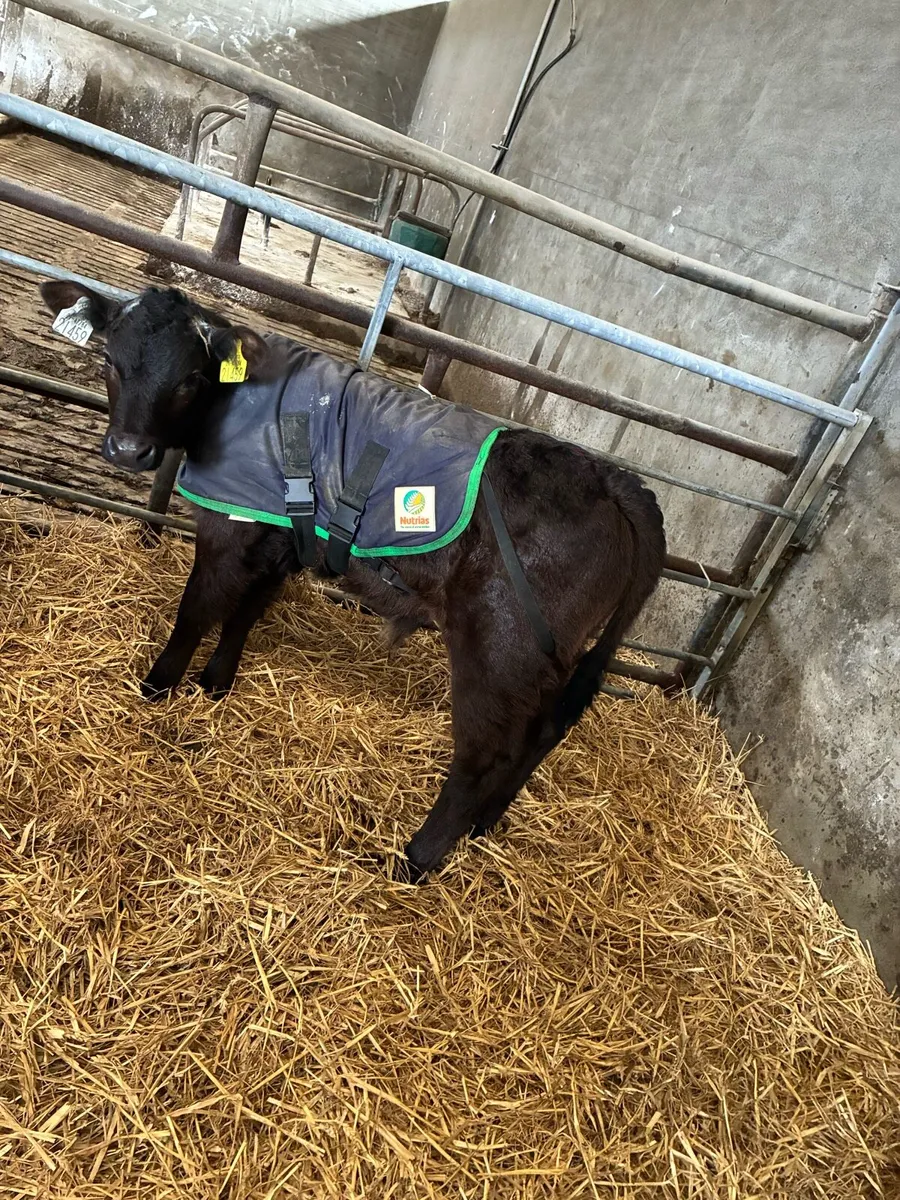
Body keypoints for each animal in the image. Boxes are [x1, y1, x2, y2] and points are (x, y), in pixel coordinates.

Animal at [40, 281, 666, 881]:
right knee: (541, 732)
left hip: (500, 645)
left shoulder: (231, 531)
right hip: (551, 653)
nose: (129, 451)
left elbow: (196, 611)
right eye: (111, 360)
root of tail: (615, 480)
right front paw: (214, 684)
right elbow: (246, 611)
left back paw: (416, 859)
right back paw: (485, 825)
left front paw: (157, 686)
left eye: (192, 378)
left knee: (484, 755)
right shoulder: (278, 537)